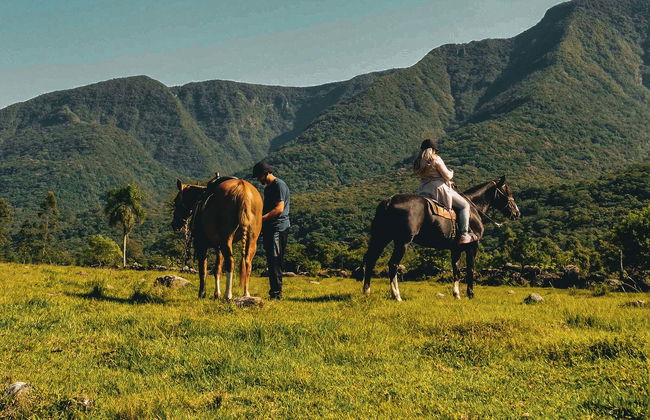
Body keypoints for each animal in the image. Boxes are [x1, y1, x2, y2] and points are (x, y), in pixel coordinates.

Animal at [354, 176, 520, 300]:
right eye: (508, 192)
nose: (517, 213)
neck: (473, 210)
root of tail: (390, 201)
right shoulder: (473, 246)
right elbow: (470, 269)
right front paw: (471, 294)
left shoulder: (456, 248)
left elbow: (456, 270)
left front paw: (456, 294)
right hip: (403, 241)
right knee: (393, 264)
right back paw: (396, 295)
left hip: (381, 238)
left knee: (371, 260)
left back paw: (367, 291)